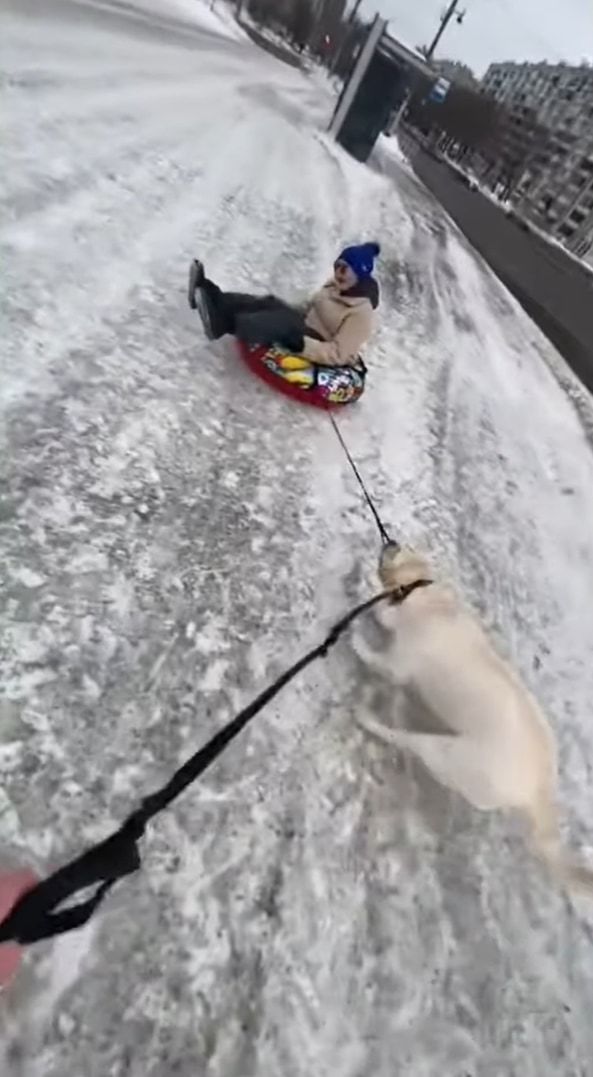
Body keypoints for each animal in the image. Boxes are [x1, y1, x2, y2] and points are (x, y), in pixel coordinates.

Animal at [355, 547, 589, 891]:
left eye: (399, 554)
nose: (391, 542)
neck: (435, 602)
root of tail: (538, 790)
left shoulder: (400, 662)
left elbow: (378, 648)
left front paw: (357, 637)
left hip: (449, 756)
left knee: (405, 739)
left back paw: (369, 720)